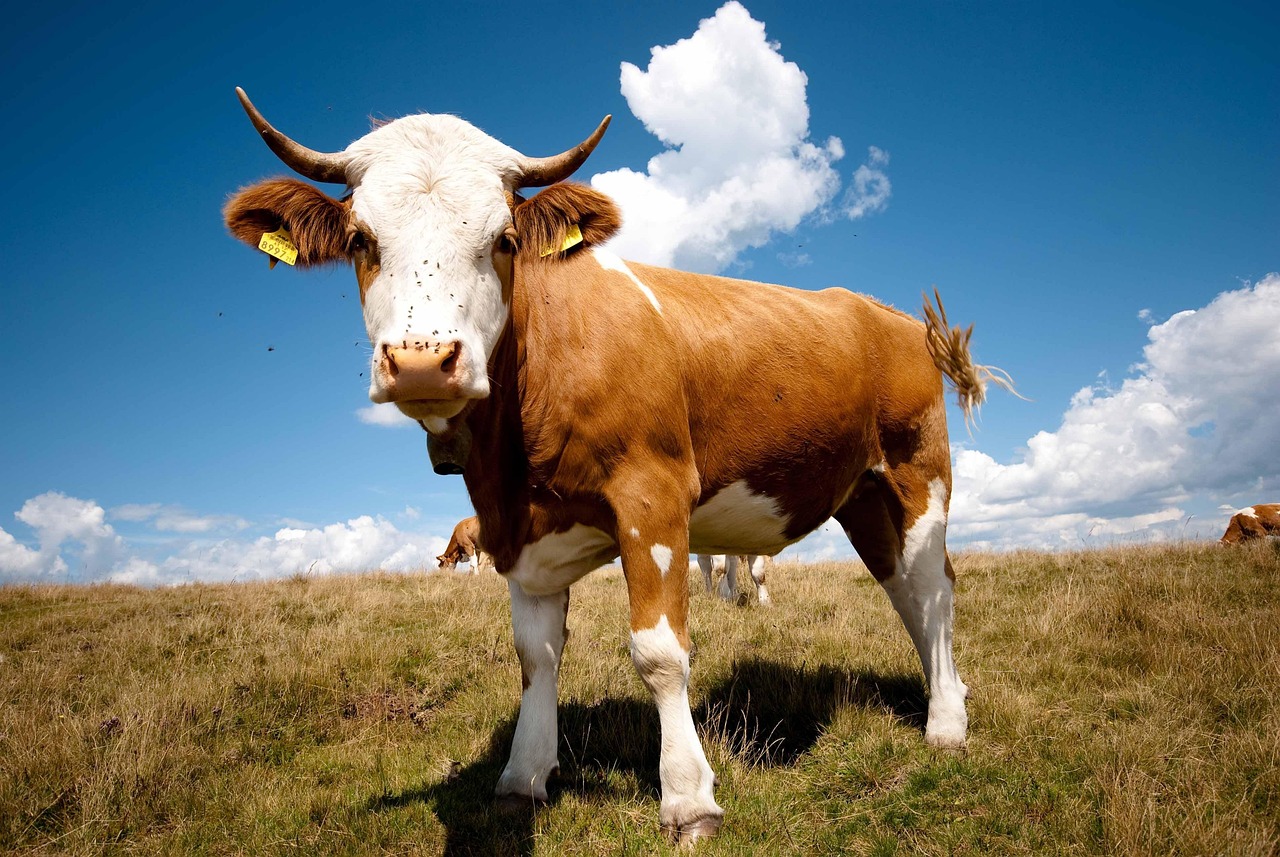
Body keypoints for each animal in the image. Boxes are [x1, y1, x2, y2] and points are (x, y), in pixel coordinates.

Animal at [223, 89, 1011, 843]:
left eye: (504, 240)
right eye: (361, 239)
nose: (422, 359)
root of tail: (890, 315)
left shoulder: (653, 497)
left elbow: (659, 652)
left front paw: (689, 800)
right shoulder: (520, 534)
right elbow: (536, 656)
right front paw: (524, 777)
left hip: (918, 472)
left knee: (934, 588)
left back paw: (947, 723)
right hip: (862, 495)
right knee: (905, 591)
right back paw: (945, 696)